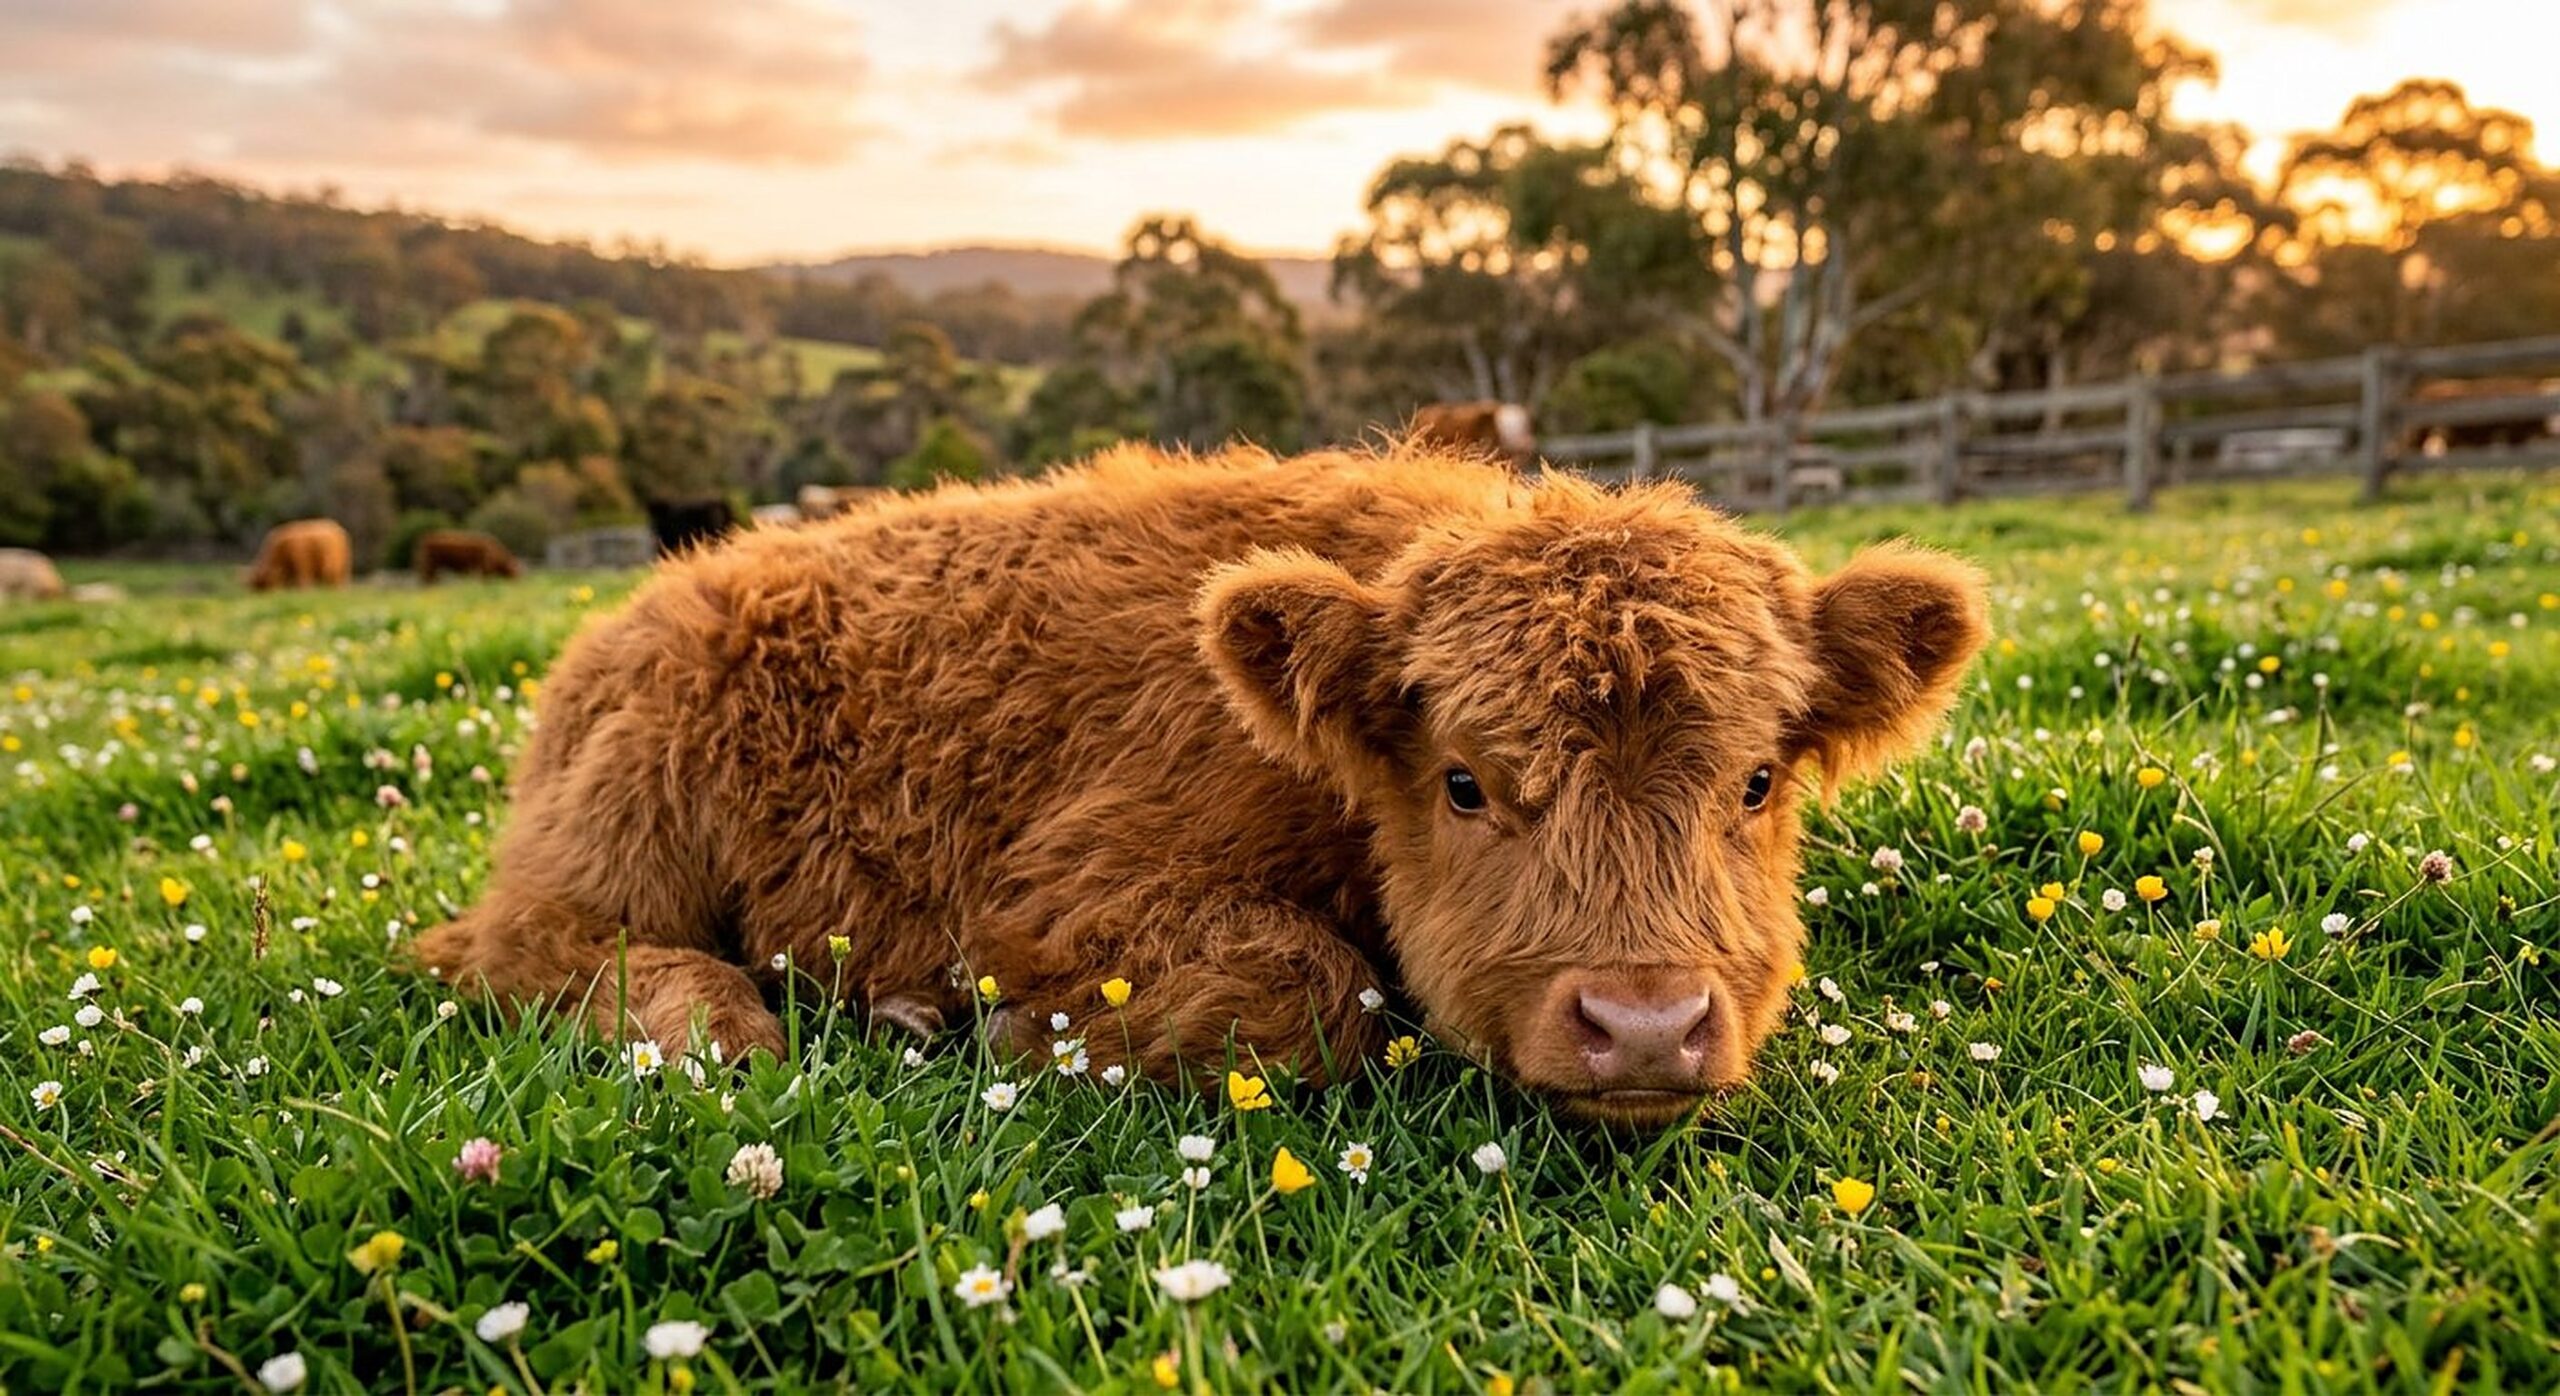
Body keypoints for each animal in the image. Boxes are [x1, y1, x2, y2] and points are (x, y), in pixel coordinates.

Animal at [417, 443, 1986, 1129]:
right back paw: (737, 1025)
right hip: (619, 842)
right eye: (1465, 784)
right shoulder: (1058, 899)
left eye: (1758, 779)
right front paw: (1016, 1035)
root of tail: (659, 597)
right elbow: (1318, 984)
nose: (1646, 1025)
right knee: (520, 951)